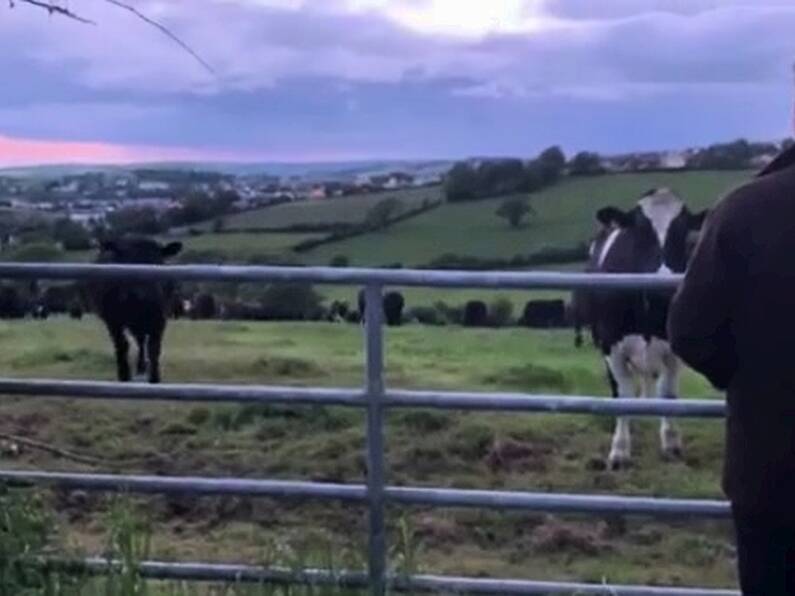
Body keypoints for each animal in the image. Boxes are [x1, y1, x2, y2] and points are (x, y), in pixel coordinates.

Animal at [91, 235, 183, 384]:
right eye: (126, 261)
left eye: (157, 262)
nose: (142, 294)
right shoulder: (113, 321)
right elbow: (122, 345)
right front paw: (124, 375)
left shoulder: (160, 319)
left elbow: (154, 347)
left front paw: (155, 377)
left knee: (142, 341)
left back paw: (142, 367)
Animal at [572, 189, 708, 468]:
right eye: (639, 231)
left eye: (684, 233)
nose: (664, 285)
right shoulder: (610, 345)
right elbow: (622, 395)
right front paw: (619, 451)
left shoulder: (673, 351)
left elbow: (668, 394)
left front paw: (671, 444)